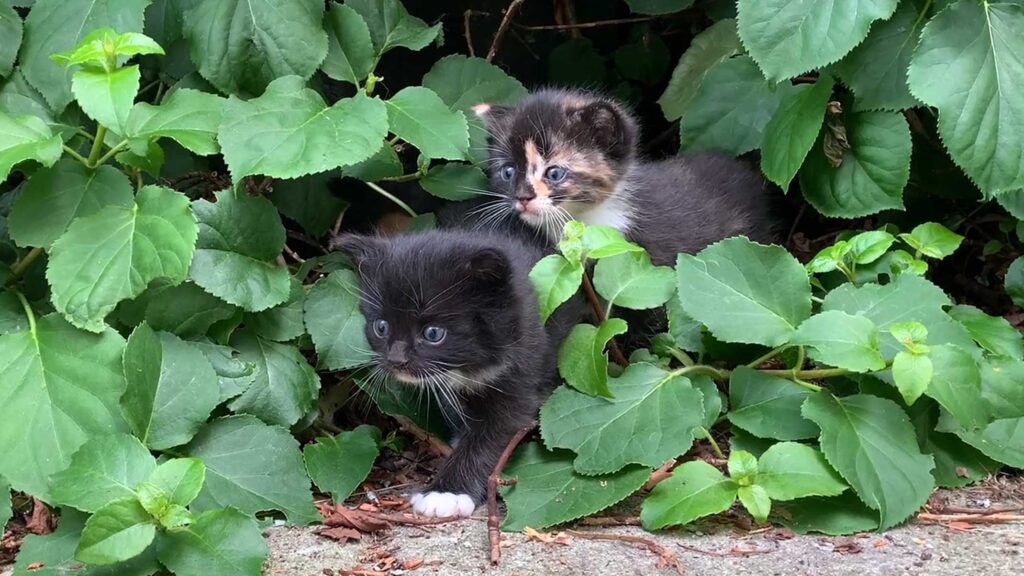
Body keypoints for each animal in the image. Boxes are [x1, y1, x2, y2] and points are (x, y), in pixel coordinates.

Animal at [331, 227, 581, 516]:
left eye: (433, 333)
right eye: (381, 327)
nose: (396, 359)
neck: (468, 367)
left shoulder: (523, 368)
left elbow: (494, 432)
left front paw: (445, 492)